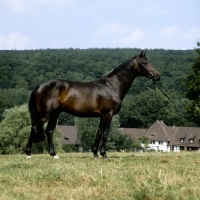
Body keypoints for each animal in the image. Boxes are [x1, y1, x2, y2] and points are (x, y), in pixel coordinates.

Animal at [25, 51, 160, 159]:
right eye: (145, 63)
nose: (157, 75)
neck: (112, 85)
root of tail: (40, 86)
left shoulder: (102, 116)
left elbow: (98, 133)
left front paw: (95, 154)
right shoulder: (108, 114)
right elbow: (105, 133)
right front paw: (104, 154)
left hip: (54, 114)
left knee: (49, 131)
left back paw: (54, 155)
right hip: (45, 114)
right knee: (35, 128)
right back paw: (28, 154)